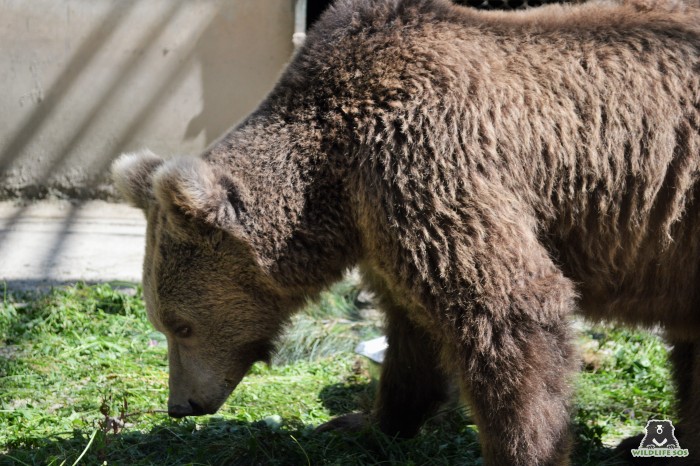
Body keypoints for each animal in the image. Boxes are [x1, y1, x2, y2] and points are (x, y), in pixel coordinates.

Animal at [112, 1, 696, 464]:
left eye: (180, 326)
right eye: (164, 324)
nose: (181, 405)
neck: (330, 178)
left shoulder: (426, 157)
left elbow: (508, 310)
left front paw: (526, 449)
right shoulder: (381, 220)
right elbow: (412, 329)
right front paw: (361, 423)